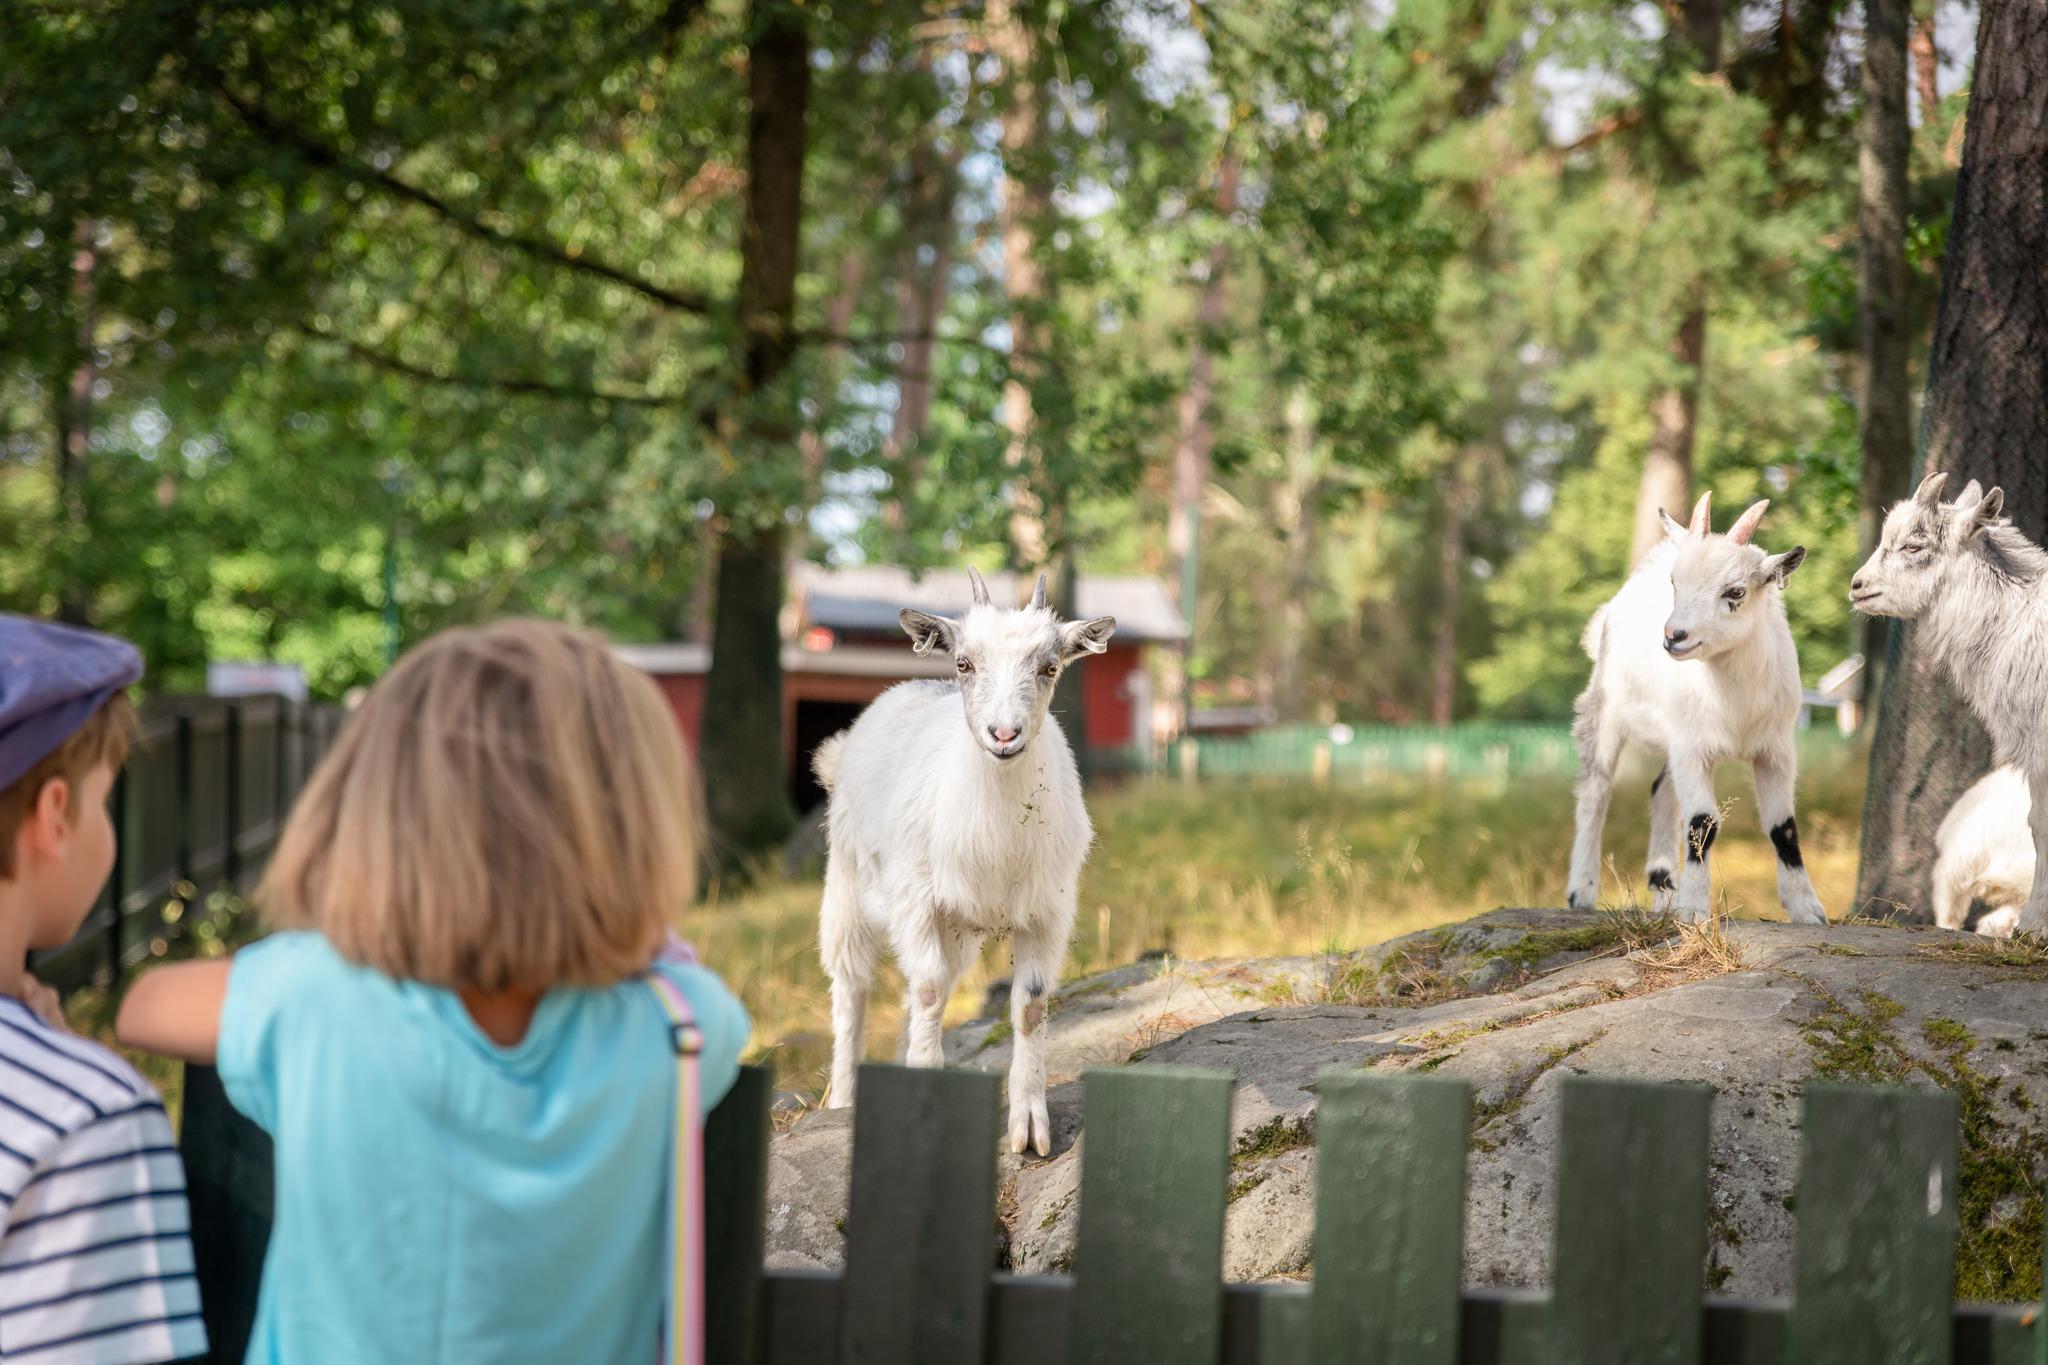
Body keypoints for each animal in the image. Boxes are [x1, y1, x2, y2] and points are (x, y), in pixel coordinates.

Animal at [814, 568, 1115, 1156]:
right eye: (963, 664)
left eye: (1050, 667)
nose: (1004, 734)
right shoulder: (915, 901)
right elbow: (929, 989)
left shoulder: (1048, 911)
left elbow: (1029, 1005)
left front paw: (1029, 1126)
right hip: (846, 887)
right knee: (853, 988)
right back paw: (842, 1096)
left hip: (957, 929)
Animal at [1567, 492, 1826, 924]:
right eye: (1676, 582)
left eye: (1735, 592)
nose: (1674, 636)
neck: (1733, 703)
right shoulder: (1692, 748)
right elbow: (1703, 823)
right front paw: (1693, 909)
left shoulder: (1775, 749)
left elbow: (1782, 827)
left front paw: (1807, 909)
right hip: (1605, 705)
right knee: (1595, 790)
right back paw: (1581, 892)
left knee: (1660, 790)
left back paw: (1663, 890)